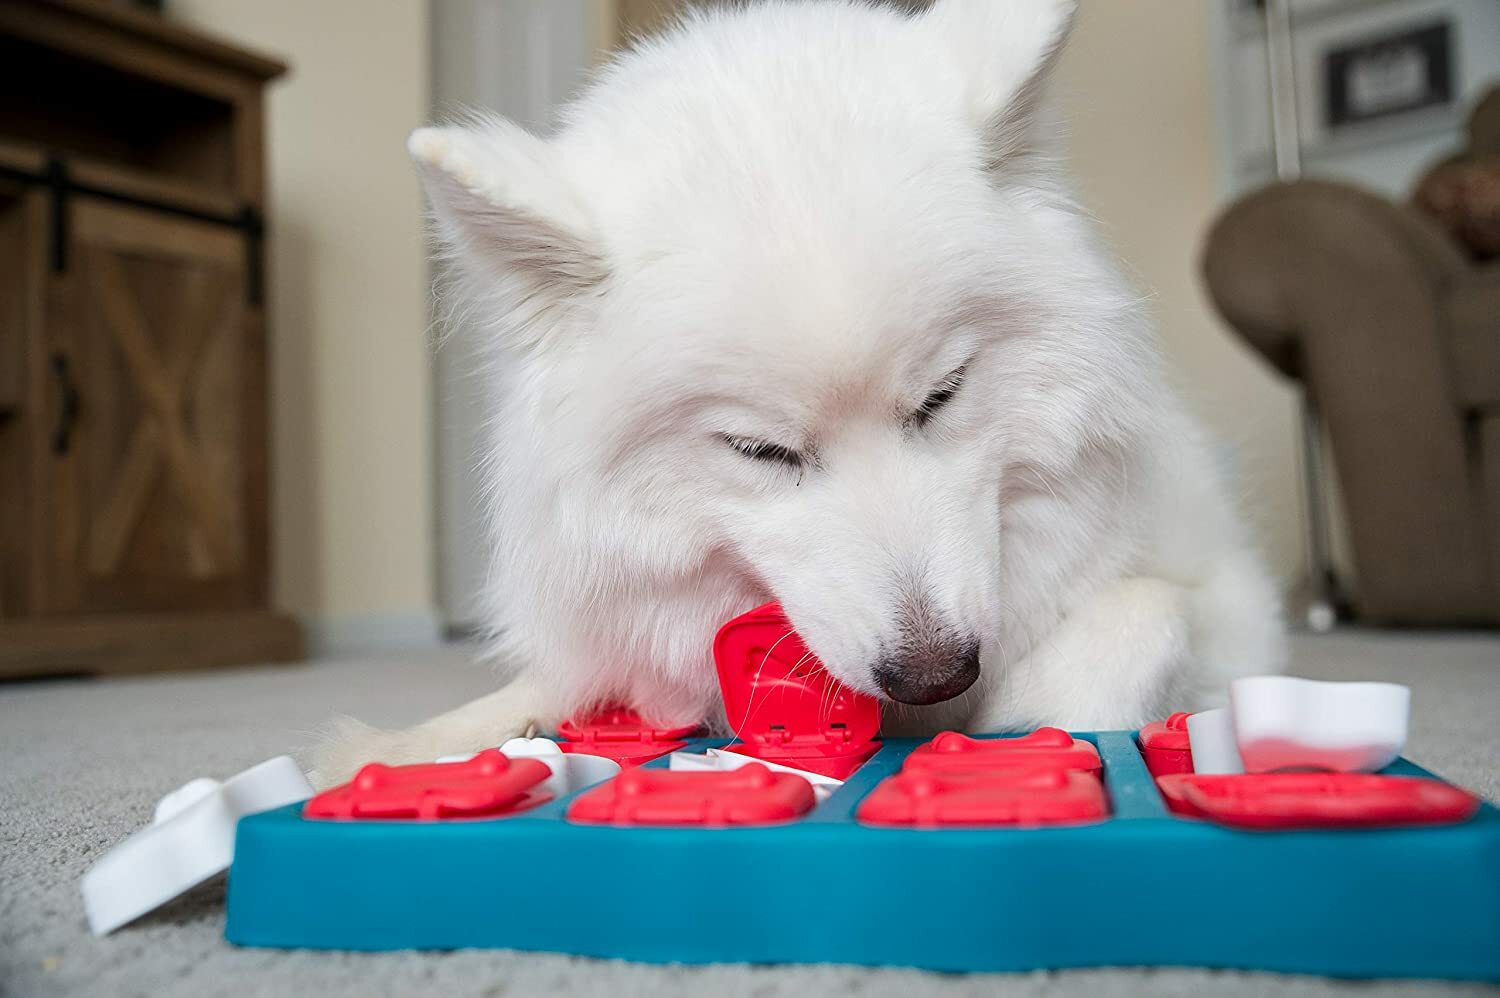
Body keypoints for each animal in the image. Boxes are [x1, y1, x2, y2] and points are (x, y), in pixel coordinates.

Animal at [310, 0, 1284, 780]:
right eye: (761, 450)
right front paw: (393, 750)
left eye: (942, 395)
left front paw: (1031, 715)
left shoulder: (1223, 590)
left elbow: (1145, 614)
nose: (936, 673)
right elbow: (542, 688)